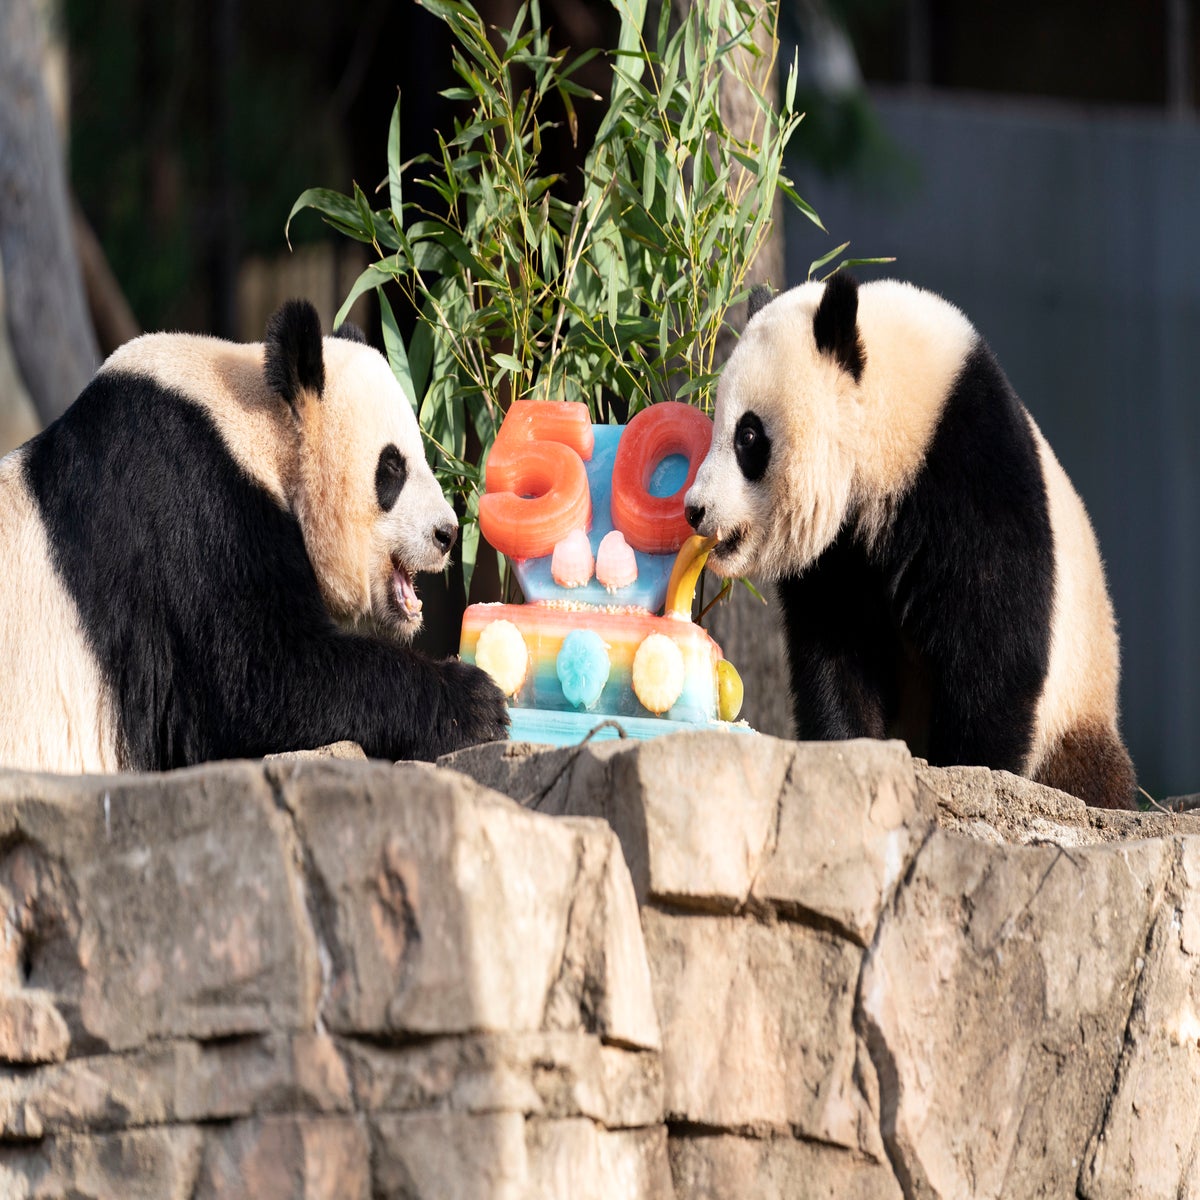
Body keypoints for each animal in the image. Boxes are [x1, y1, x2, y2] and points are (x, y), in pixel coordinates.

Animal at [0, 295, 506, 772]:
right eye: (392, 467)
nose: (446, 533)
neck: (251, 421)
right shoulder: (185, 502)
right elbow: (259, 681)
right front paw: (476, 702)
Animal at [686, 276, 1132, 811]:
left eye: (747, 435)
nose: (695, 509)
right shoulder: (840, 553)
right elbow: (836, 648)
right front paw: (850, 752)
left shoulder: (972, 469)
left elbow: (995, 648)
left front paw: (972, 772)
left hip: (1076, 707)